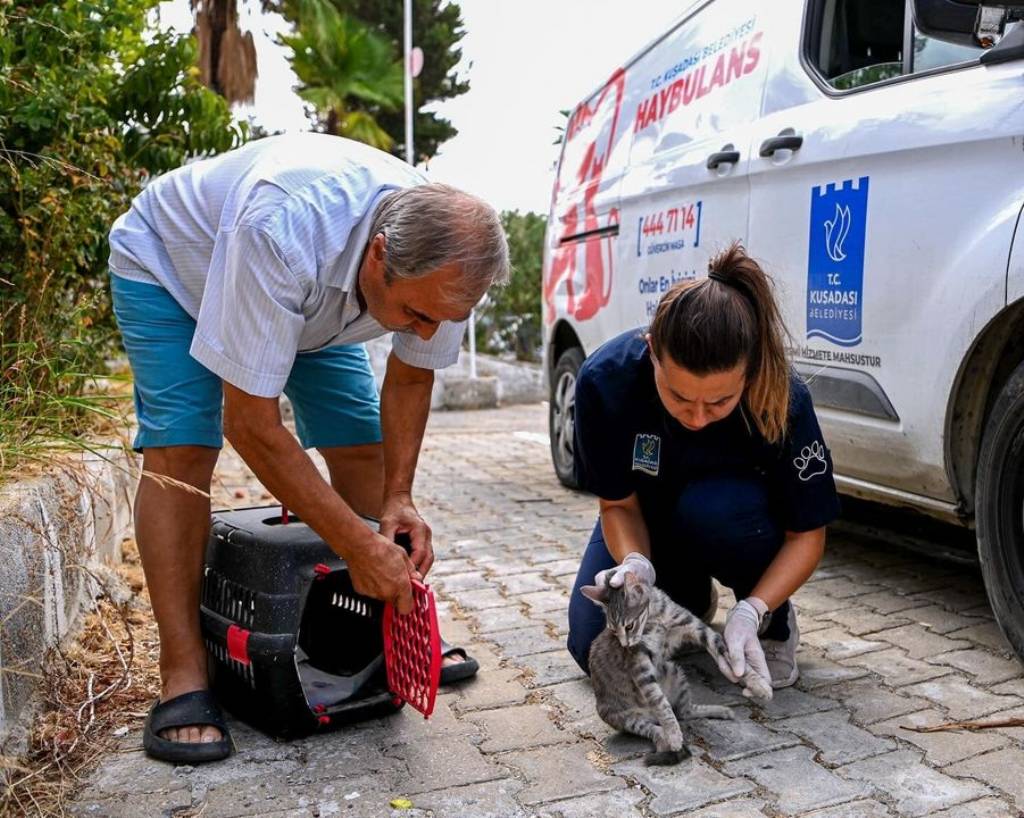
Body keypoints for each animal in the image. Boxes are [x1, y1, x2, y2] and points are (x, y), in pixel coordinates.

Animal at [581, 569, 770, 769]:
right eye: (613, 631)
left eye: (629, 626)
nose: (625, 645)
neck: (657, 619)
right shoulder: (639, 663)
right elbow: (659, 701)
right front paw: (673, 733)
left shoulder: (698, 629)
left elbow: (728, 654)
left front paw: (758, 683)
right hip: (626, 717)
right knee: (656, 727)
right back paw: (667, 738)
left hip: (673, 671)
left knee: (685, 712)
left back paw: (720, 711)